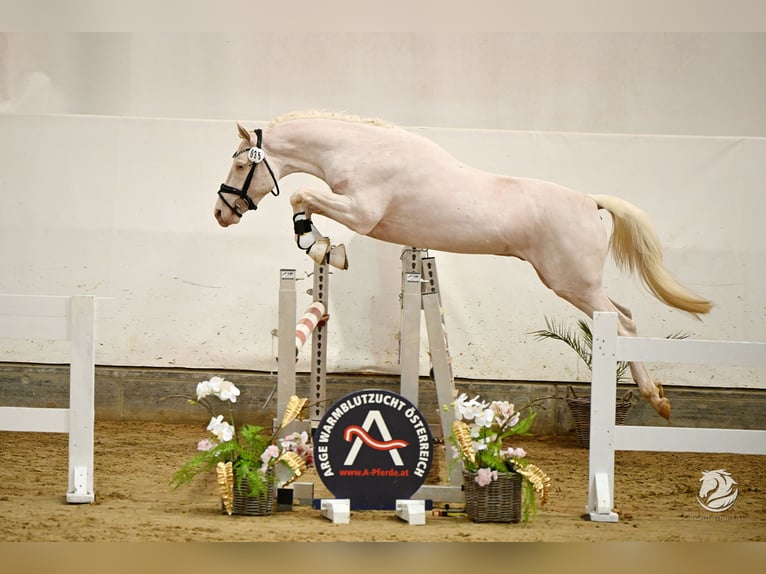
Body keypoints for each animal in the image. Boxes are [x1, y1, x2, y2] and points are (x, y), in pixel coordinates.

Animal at [212, 112, 712, 420]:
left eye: (239, 165)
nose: (221, 214)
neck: (364, 151)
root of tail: (590, 201)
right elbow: (304, 200)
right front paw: (324, 249)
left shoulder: (360, 212)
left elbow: (300, 197)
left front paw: (317, 245)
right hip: (575, 282)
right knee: (624, 317)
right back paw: (654, 396)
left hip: (572, 281)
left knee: (620, 322)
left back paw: (654, 398)